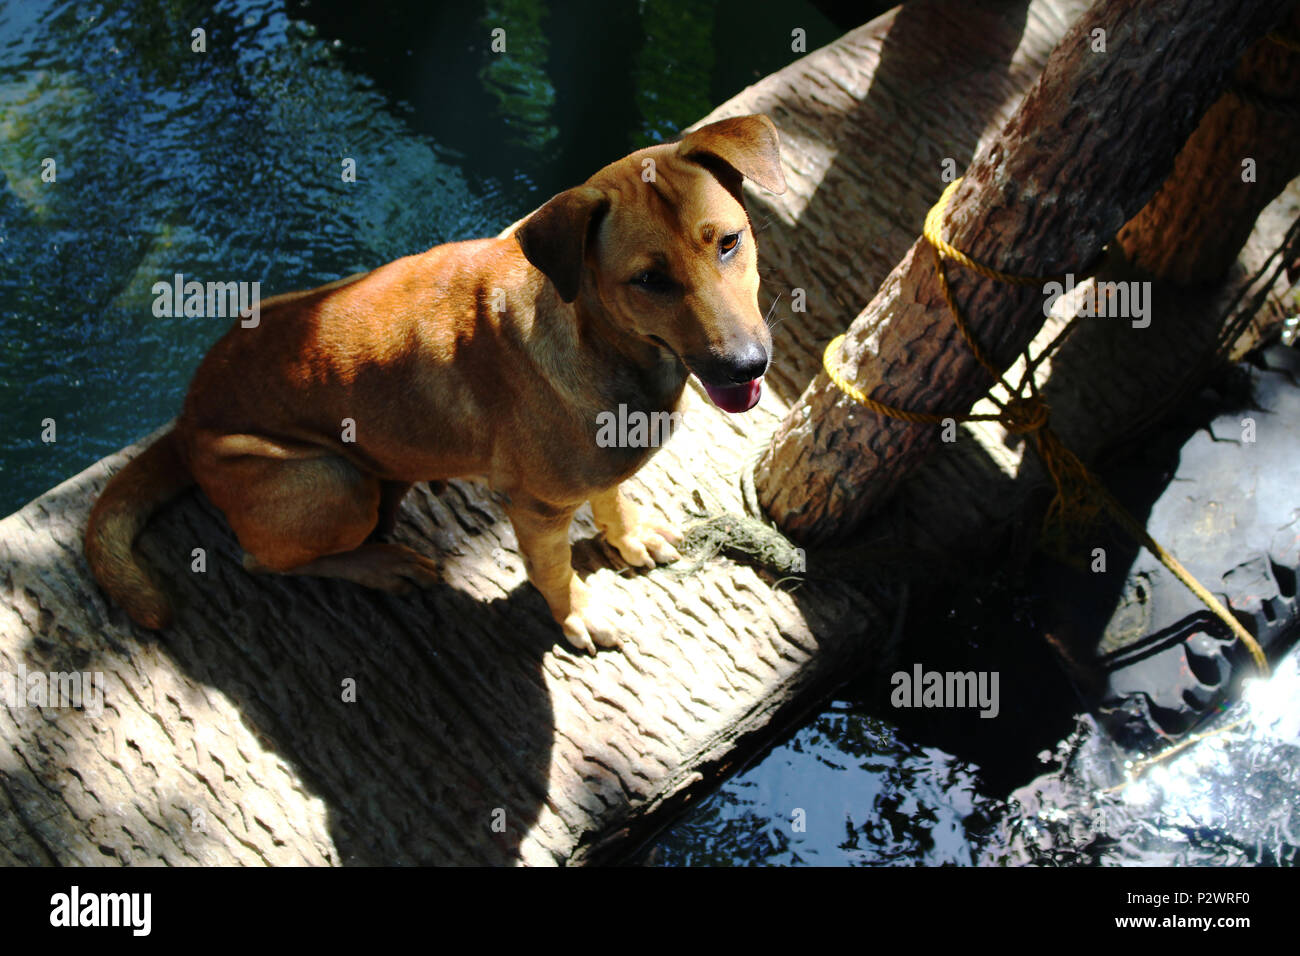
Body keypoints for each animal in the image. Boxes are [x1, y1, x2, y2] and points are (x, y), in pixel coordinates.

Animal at [86, 110, 785, 650]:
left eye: (729, 242)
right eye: (648, 280)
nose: (746, 366)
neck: (606, 345)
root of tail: (184, 418)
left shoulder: (601, 468)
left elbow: (611, 497)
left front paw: (630, 536)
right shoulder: (535, 509)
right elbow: (555, 571)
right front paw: (579, 616)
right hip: (331, 482)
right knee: (264, 557)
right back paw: (383, 564)